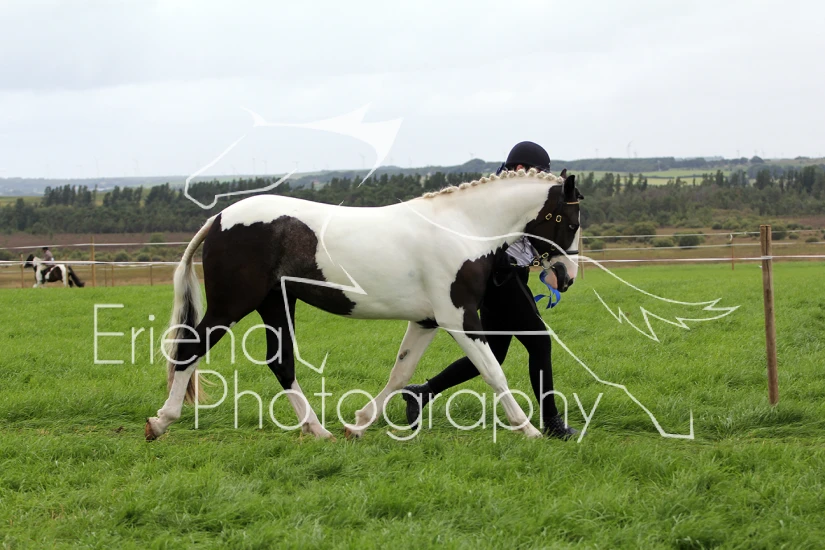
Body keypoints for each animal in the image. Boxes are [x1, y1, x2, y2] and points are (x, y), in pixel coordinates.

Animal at [145, 168, 583, 441]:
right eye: (569, 221)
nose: (566, 276)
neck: (461, 228)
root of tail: (219, 219)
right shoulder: (458, 318)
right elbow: (493, 372)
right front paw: (528, 429)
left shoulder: (427, 321)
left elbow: (401, 373)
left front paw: (358, 424)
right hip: (232, 305)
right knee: (191, 349)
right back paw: (161, 421)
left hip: (275, 303)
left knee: (280, 362)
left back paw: (318, 430)